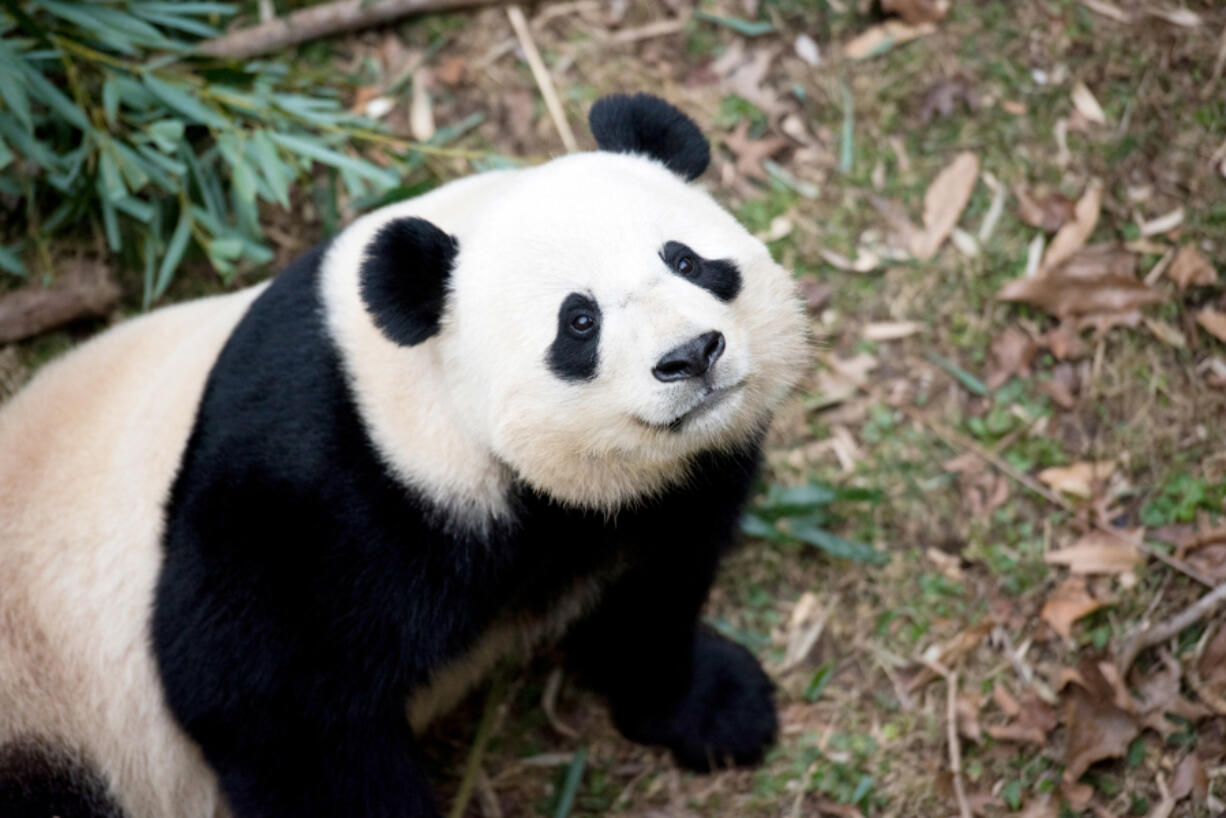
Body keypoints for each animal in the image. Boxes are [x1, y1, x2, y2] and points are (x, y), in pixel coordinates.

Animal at [2, 94, 814, 818]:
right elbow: (270, 704)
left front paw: (717, 707)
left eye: (687, 260)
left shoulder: (661, 493)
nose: (691, 355)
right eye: (579, 321)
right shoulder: (309, 494)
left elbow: (655, 586)